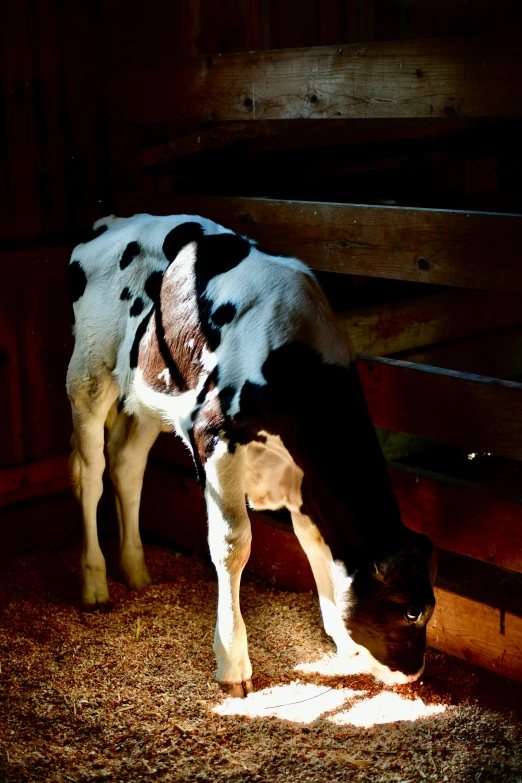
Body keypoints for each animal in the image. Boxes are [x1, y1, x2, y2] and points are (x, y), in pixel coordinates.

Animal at [68, 214, 434, 700]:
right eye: (411, 611)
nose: (414, 674)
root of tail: (111, 223)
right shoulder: (214, 436)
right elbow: (232, 545)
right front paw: (233, 664)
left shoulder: (302, 473)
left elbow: (313, 542)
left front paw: (342, 641)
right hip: (87, 377)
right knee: (90, 473)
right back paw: (94, 583)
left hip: (151, 394)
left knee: (127, 466)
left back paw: (136, 570)